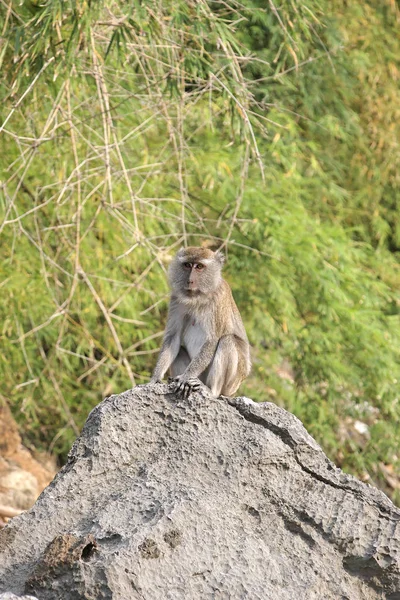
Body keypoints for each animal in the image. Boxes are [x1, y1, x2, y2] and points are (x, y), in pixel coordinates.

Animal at [150, 246, 250, 400]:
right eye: (187, 265)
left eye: (199, 267)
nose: (189, 281)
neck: (198, 298)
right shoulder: (176, 299)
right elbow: (173, 338)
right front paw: (155, 377)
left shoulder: (218, 299)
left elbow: (212, 341)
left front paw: (186, 376)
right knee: (179, 350)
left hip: (232, 383)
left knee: (227, 340)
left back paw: (211, 391)